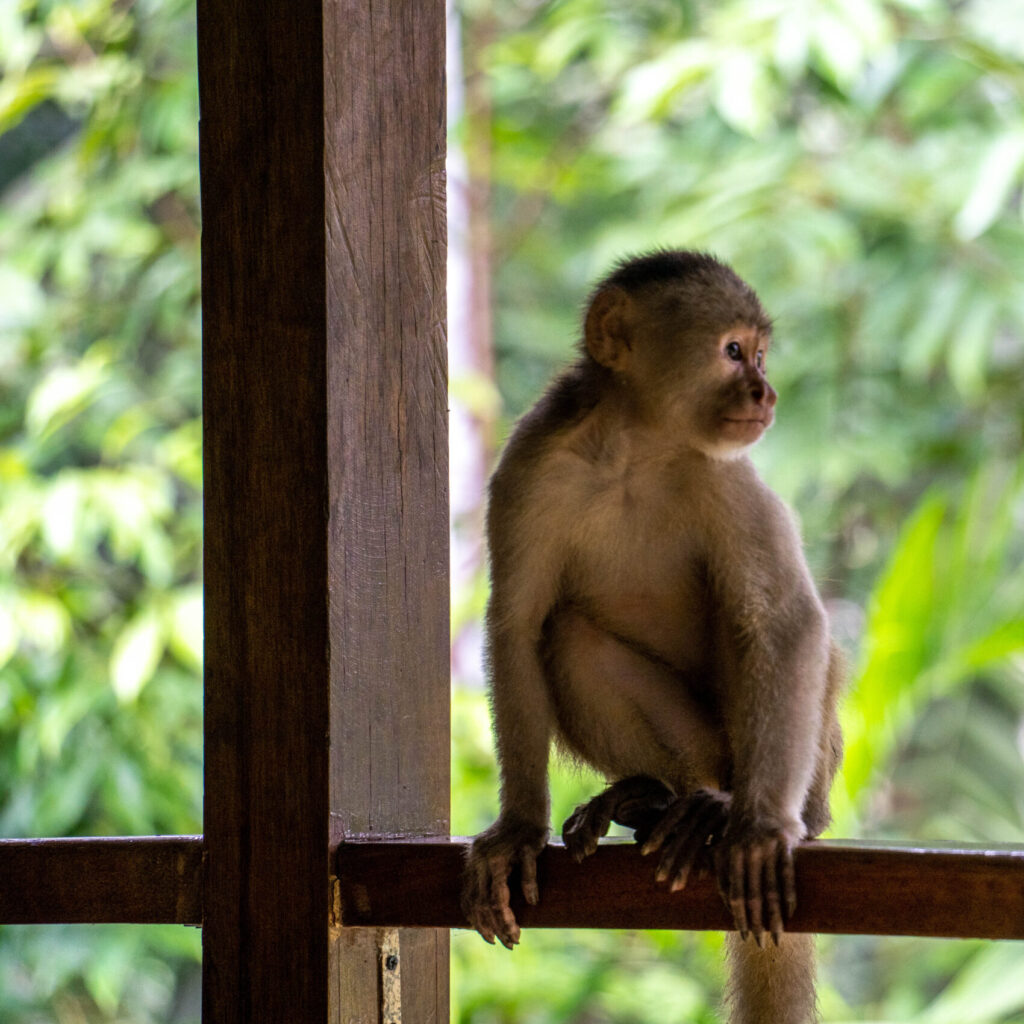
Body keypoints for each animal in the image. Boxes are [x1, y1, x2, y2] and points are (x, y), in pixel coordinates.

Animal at [460, 249, 843, 1024]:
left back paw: (726, 808)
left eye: (758, 354)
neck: (634, 448)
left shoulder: (726, 471)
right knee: (568, 634)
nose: (765, 392)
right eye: (734, 352)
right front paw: (518, 828)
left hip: (787, 761)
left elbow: (786, 621)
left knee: (752, 623)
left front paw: (762, 829)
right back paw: (658, 796)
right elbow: (515, 626)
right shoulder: (532, 463)